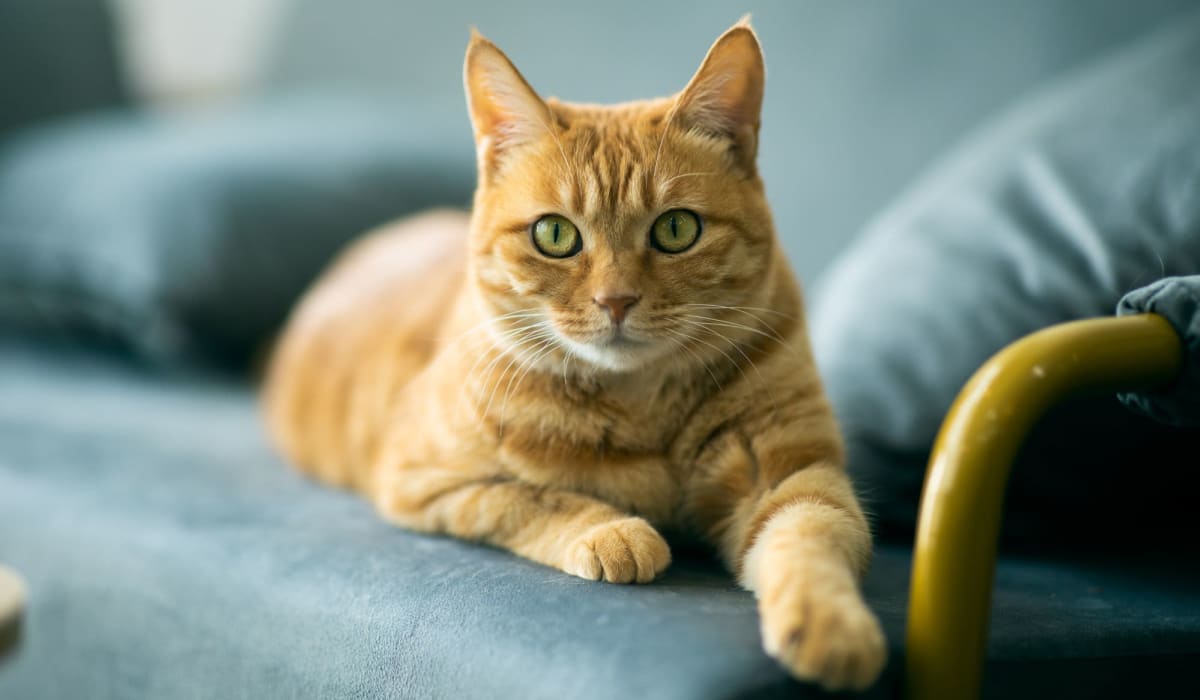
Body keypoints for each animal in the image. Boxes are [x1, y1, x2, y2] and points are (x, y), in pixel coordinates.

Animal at [265, 19, 883, 691]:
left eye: (677, 229)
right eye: (555, 235)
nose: (616, 301)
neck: (641, 406)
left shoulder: (793, 475)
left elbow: (811, 537)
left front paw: (833, 628)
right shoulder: (424, 481)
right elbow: (530, 497)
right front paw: (613, 531)